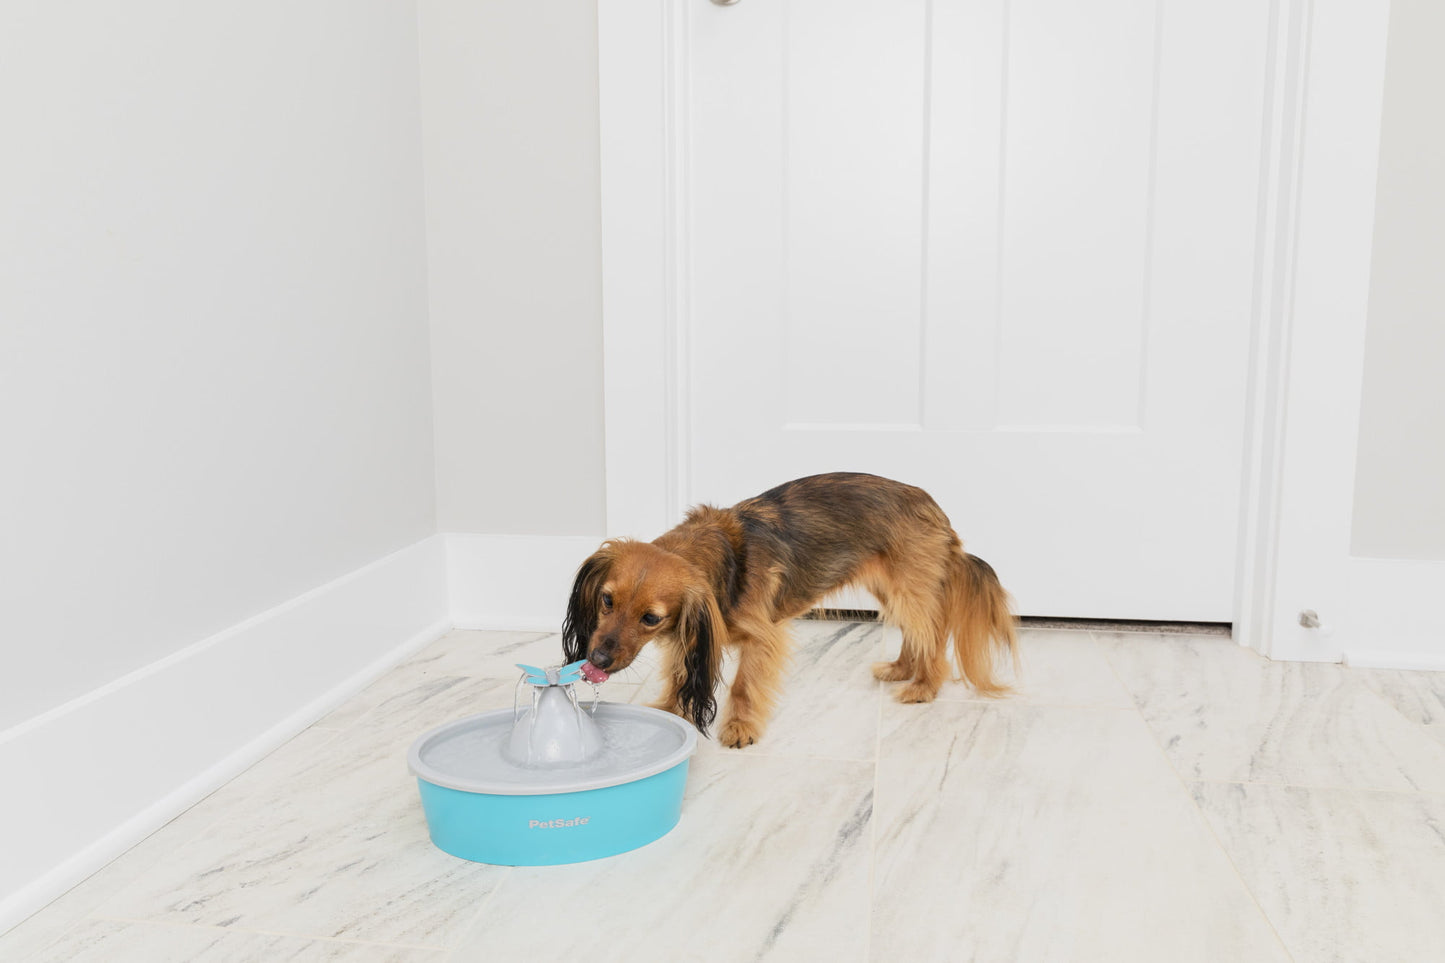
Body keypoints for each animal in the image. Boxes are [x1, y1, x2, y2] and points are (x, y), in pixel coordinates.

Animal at [557, 468, 1011, 746]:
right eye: (607, 600)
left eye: (651, 618)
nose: (596, 660)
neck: (726, 563)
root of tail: (936, 511)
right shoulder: (691, 635)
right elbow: (679, 677)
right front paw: (670, 711)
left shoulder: (763, 636)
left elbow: (742, 685)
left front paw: (740, 727)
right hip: (891, 591)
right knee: (916, 633)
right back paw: (901, 669)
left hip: (909, 590)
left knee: (932, 635)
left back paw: (923, 686)